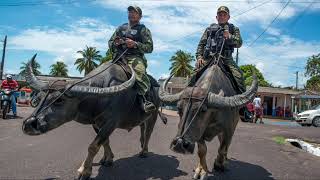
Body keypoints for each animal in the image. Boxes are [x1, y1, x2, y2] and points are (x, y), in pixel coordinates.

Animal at [22, 54, 161, 179]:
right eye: (40, 97)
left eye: (59, 100)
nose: (28, 124)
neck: (99, 97)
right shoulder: (96, 123)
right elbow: (105, 141)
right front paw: (107, 159)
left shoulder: (111, 123)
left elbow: (93, 146)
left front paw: (84, 171)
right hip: (143, 118)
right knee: (142, 129)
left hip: (153, 115)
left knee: (148, 132)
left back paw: (144, 151)